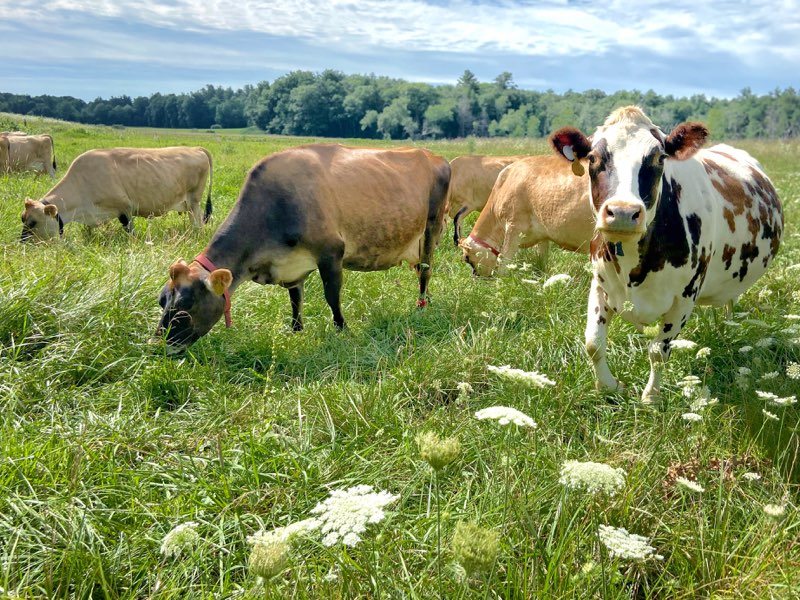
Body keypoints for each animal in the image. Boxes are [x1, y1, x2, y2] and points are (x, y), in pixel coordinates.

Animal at [21, 146, 213, 241]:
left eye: (33, 222)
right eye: (22, 219)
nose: (22, 243)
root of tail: (195, 148)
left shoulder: (125, 209)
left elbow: (131, 233)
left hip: (194, 200)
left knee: (198, 222)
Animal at [156, 144, 450, 353]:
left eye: (186, 304)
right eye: (162, 300)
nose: (160, 345)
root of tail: (434, 156)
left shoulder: (331, 252)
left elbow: (332, 296)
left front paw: (342, 330)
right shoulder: (291, 265)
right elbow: (295, 299)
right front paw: (296, 330)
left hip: (432, 226)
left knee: (426, 271)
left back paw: (422, 306)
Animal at [459, 155, 595, 276]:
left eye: (467, 258)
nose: (476, 276)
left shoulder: (514, 227)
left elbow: (504, 262)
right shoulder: (543, 234)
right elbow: (541, 259)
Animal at [550, 106, 782, 402]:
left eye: (659, 158)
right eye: (593, 157)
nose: (623, 212)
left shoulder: (685, 297)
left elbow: (658, 351)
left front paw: (651, 397)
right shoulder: (600, 284)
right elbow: (593, 343)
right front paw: (609, 387)